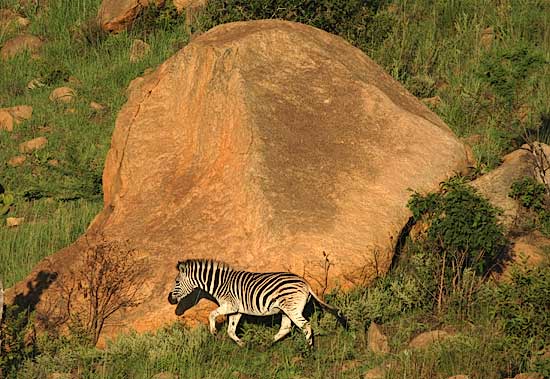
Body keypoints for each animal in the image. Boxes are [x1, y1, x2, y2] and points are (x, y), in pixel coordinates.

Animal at [168, 260, 350, 348]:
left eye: (176, 282)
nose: (169, 299)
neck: (220, 283)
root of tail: (305, 282)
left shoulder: (231, 305)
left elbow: (211, 314)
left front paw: (213, 331)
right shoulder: (237, 310)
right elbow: (230, 330)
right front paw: (242, 344)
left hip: (291, 309)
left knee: (305, 326)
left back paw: (309, 351)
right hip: (286, 310)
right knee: (285, 328)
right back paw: (266, 344)